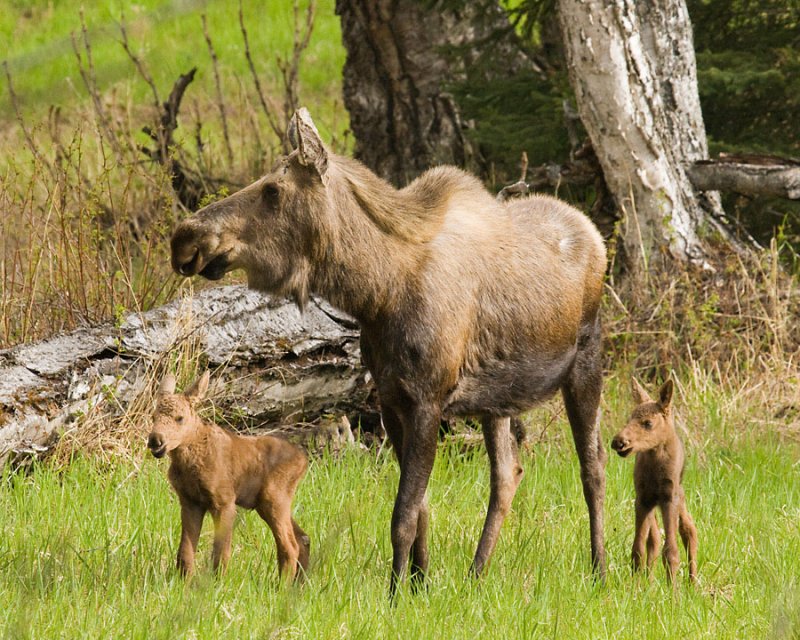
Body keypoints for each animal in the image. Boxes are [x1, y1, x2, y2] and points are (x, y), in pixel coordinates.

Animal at [147, 370, 310, 580]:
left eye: (179, 418)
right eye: (153, 417)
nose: (155, 440)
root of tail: (303, 461)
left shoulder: (224, 501)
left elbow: (220, 552)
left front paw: (217, 582)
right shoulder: (190, 501)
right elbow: (185, 549)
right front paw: (185, 580)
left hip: (273, 498)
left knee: (290, 546)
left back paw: (282, 585)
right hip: (271, 503)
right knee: (303, 538)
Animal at [170, 107, 608, 592]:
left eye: (272, 189)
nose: (184, 237)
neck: (376, 294)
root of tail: (594, 234)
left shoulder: (427, 401)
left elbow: (402, 515)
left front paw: (397, 591)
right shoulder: (393, 399)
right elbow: (421, 508)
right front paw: (420, 582)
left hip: (586, 362)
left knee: (594, 467)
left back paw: (601, 569)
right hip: (498, 400)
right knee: (507, 475)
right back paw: (477, 572)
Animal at [608, 380, 696, 584]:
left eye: (648, 423)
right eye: (629, 419)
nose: (618, 442)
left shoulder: (669, 497)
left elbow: (671, 551)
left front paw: (673, 590)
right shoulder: (642, 498)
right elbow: (638, 549)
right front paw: (635, 585)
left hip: (679, 494)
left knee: (689, 529)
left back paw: (693, 583)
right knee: (654, 537)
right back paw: (649, 582)